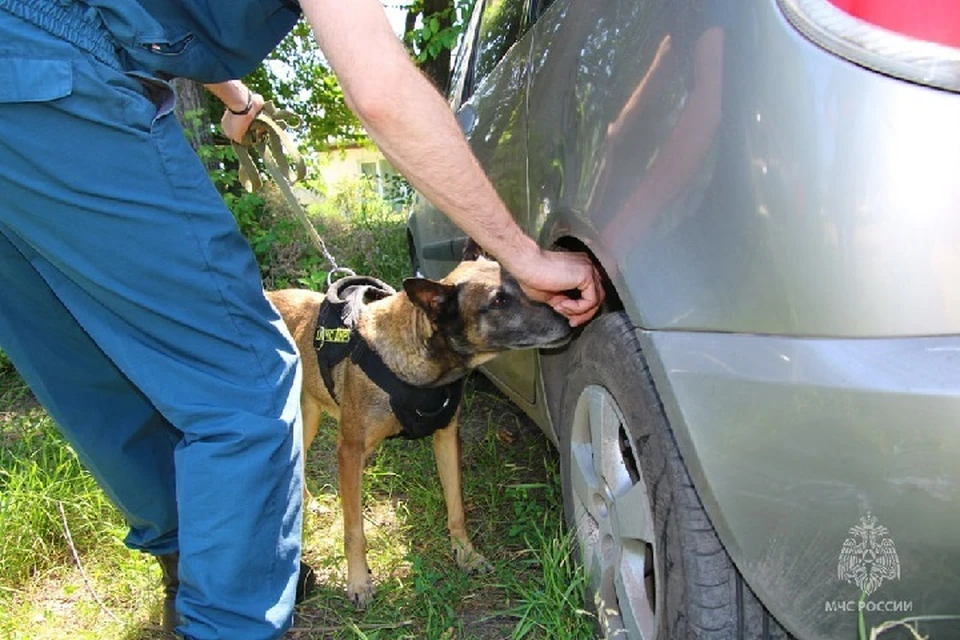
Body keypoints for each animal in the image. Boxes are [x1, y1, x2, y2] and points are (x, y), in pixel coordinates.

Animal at [264, 252, 568, 608]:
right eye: (499, 301)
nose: (568, 322)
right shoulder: (351, 452)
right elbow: (354, 530)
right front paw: (358, 581)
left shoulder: (447, 438)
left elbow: (456, 507)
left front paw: (465, 553)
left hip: (307, 415)